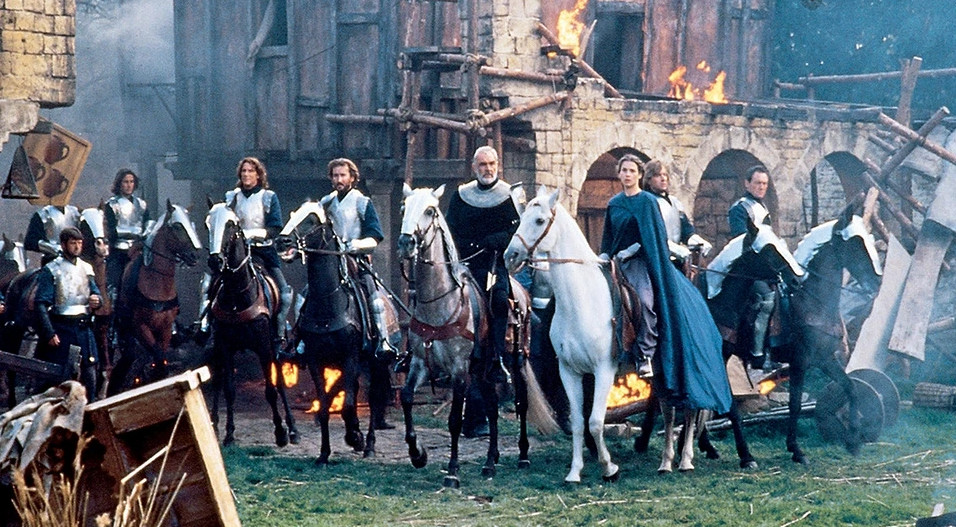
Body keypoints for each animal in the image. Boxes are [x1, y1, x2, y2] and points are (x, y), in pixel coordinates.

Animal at [107, 200, 202, 395]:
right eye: (177, 226)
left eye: (191, 224)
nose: (194, 256)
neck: (156, 282)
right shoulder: (141, 327)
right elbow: (157, 356)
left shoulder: (164, 329)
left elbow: (160, 360)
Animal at [204, 202, 298, 447]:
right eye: (208, 224)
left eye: (230, 225)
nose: (215, 261)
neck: (238, 295)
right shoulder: (225, 347)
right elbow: (229, 389)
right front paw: (228, 434)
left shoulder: (264, 346)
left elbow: (271, 389)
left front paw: (281, 432)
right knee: (217, 382)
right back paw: (214, 425)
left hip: (274, 346)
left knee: (280, 382)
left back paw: (293, 429)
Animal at [276, 200, 398, 464]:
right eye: (292, 215)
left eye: (311, 220)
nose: (282, 242)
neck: (329, 302)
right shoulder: (316, 360)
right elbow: (324, 405)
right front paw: (324, 453)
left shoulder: (350, 358)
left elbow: (349, 403)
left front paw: (355, 437)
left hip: (375, 363)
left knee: (374, 398)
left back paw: (369, 444)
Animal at [397, 184, 556, 488]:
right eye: (404, 207)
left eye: (430, 210)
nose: (405, 242)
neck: (439, 302)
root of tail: (522, 293)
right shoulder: (420, 363)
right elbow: (407, 397)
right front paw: (417, 453)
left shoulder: (459, 371)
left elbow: (454, 421)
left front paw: (452, 471)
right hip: (483, 370)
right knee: (492, 408)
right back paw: (490, 462)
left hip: (516, 360)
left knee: (521, 402)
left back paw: (522, 456)